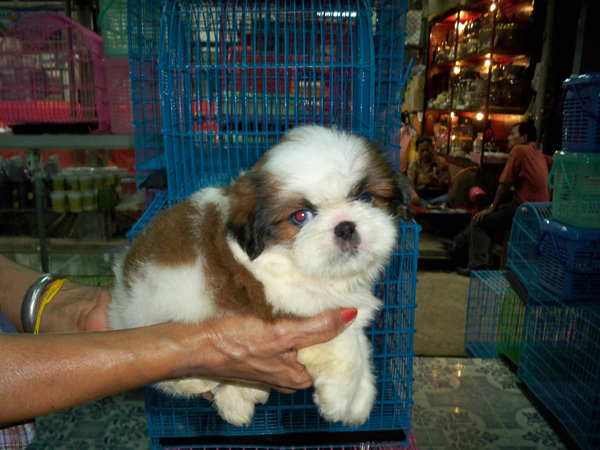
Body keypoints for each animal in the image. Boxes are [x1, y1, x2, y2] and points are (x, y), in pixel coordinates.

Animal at [109, 125, 411, 427]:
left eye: (366, 198)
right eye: (301, 216)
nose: (345, 227)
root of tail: (120, 299)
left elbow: (360, 342)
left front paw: (361, 395)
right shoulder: (288, 305)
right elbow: (345, 344)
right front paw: (341, 396)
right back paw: (194, 382)